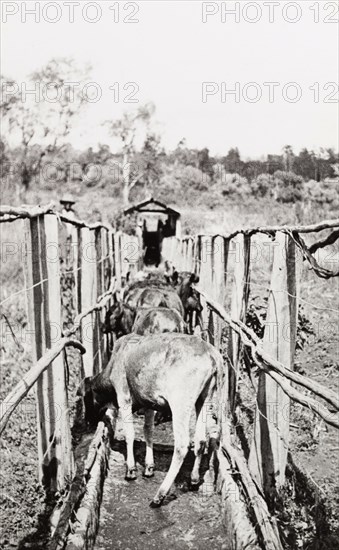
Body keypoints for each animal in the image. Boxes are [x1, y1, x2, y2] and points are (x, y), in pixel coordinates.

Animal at [77, 332, 223, 508]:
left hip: (180, 403)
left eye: (85, 397)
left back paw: (159, 495)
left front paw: (131, 469)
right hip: (204, 399)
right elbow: (148, 431)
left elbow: (130, 433)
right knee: (201, 440)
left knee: (182, 445)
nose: (88, 421)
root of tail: (209, 351)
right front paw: (148, 467)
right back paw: (194, 480)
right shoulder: (148, 403)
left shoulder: (124, 396)